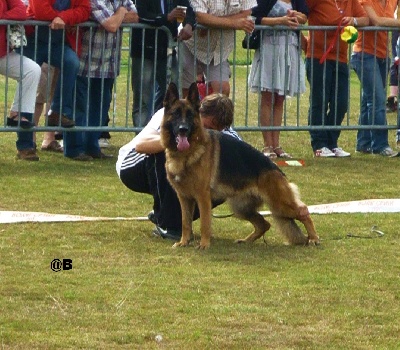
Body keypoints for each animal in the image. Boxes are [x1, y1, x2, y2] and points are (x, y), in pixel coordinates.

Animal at [159, 82, 318, 249]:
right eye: (176, 114)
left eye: (190, 115)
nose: (183, 129)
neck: (186, 154)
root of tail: (277, 170)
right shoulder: (184, 198)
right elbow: (185, 222)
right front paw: (183, 242)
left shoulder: (203, 197)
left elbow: (204, 223)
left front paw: (204, 244)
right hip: (242, 208)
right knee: (264, 224)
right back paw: (246, 240)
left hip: (279, 204)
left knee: (304, 212)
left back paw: (313, 238)